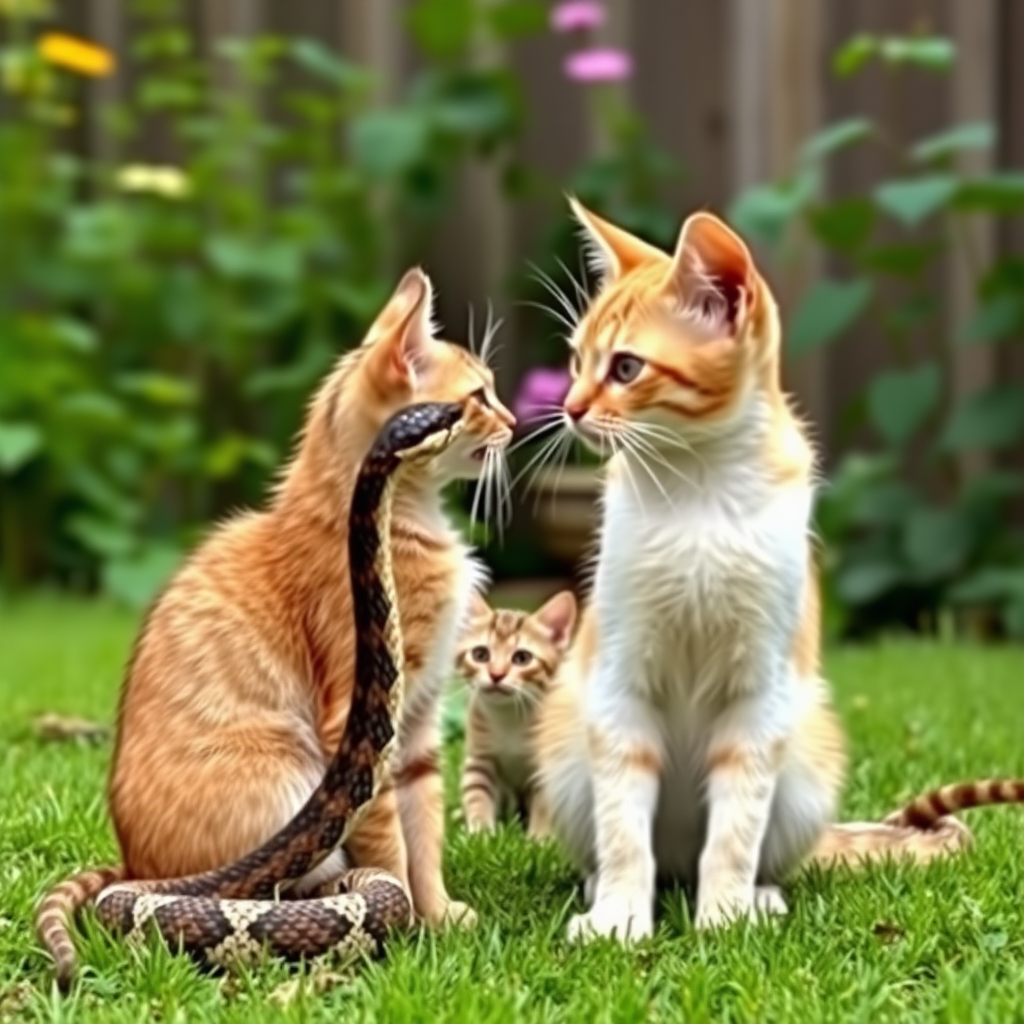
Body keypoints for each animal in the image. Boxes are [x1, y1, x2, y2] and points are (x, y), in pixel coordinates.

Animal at [456, 589, 577, 835]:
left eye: (522, 658)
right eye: (480, 654)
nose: (496, 674)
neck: (509, 717)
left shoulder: (546, 767)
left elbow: (544, 803)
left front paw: (540, 838)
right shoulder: (479, 758)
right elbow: (476, 793)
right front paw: (480, 834)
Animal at [532, 201, 843, 942]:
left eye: (626, 367)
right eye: (576, 360)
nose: (571, 408)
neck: (696, 490)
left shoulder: (760, 694)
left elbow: (737, 823)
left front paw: (725, 915)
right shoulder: (618, 683)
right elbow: (623, 821)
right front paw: (619, 917)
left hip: (807, 756)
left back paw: (760, 895)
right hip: (566, 739)